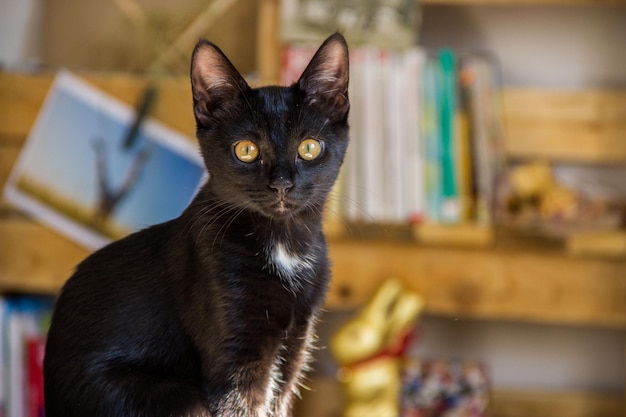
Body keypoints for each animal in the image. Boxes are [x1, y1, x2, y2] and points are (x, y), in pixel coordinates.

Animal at [42, 33, 346, 416]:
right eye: (246, 150)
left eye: (309, 148)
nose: (281, 184)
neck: (284, 244)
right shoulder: (234, 361)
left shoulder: (296, 344)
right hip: (174, 397)